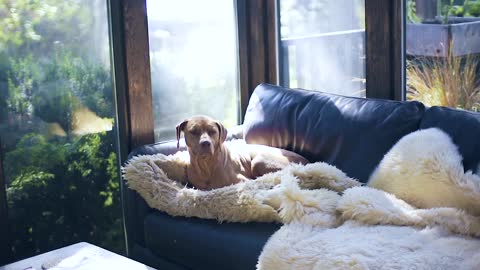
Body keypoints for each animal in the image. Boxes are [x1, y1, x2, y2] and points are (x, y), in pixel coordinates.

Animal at [176, 114, 308, 190]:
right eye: (194, 131)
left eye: (213, 131)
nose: (205, 143)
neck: (206, 166)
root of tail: (306, 161)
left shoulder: (242, 180)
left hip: (258, 161)